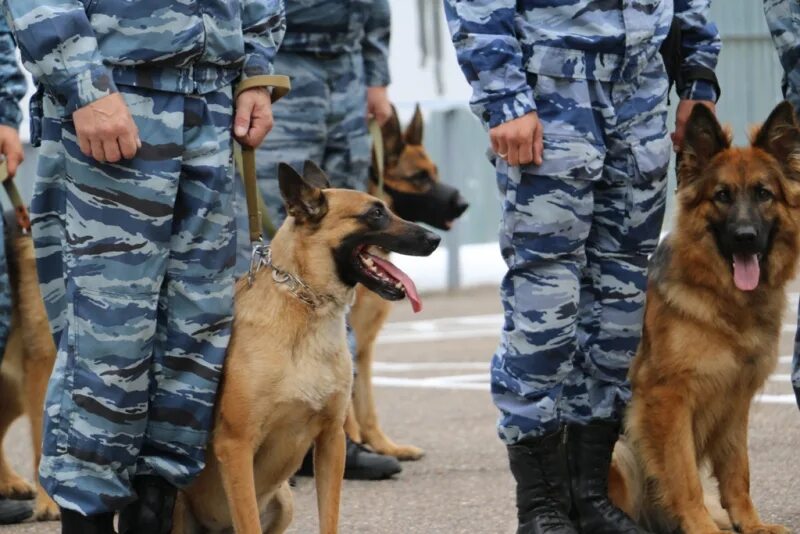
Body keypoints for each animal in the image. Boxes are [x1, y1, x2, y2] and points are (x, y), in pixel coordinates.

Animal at [174, 163, 440, 534]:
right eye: (375, 214)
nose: (435, 240)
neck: (307, 307)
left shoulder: (331, 441)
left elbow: (330, 518)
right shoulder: (236, 446)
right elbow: (249, 523)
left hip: (284, 502)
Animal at [346, 104, 466, 460]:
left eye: (435, 172)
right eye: (419, 178)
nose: (464, 204)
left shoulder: (363, 345)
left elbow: (366, 405)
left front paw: (383, 446)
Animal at [608, 101, 800, 534]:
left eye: (763, 194)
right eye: (722, 196)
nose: (745, 237)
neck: (724, 303)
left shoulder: (735, 400)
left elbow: (737, 473)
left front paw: (750, 523)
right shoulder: (669, 400)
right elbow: (683, 476)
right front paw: (699, 525)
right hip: (619, 453)